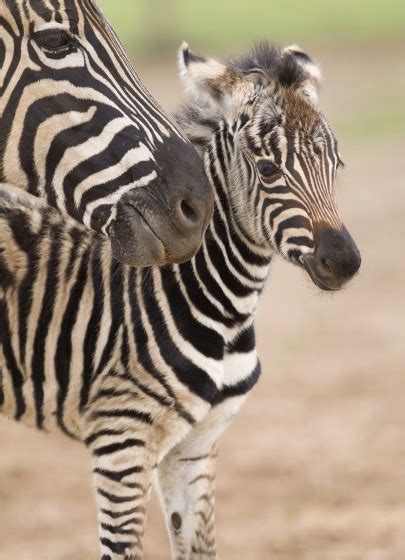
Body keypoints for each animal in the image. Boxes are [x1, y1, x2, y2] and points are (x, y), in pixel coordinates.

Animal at [0, 43, 360, 560]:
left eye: (337, 165)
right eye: (268, 170)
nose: (346, 262)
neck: (224, 309)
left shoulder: (194, 449)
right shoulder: (121, 442)